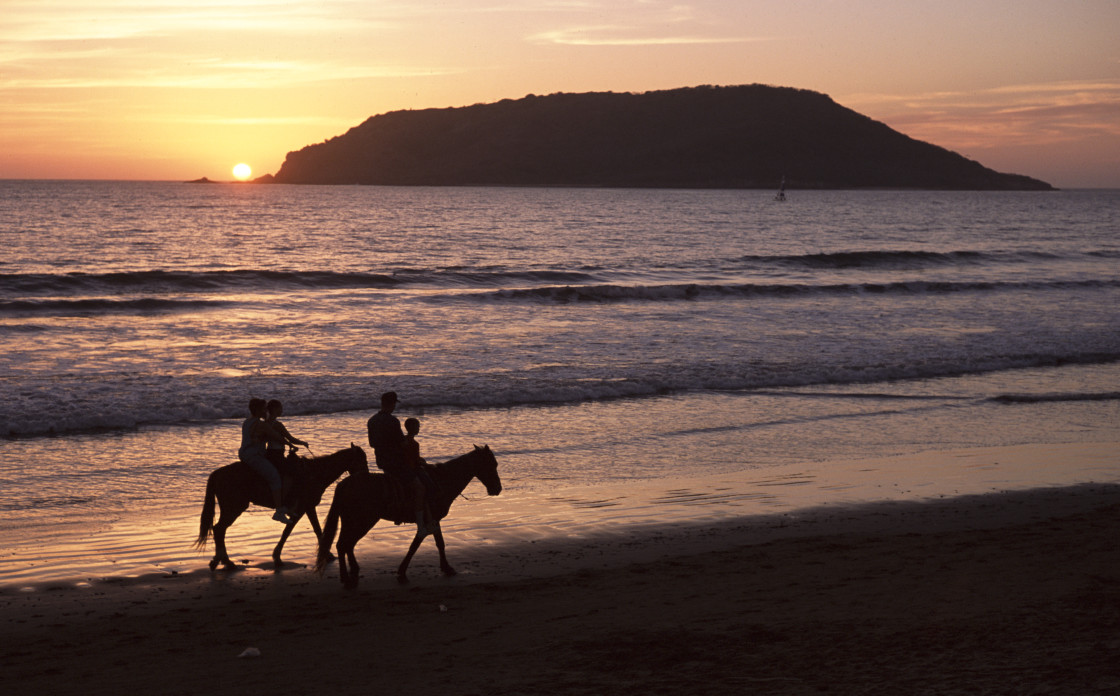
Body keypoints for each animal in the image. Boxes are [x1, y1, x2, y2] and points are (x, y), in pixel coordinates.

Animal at [193, 446, 367, 569]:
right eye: (362, 459)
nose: (366, 475)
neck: (314, 473)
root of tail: (217, 473)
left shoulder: (309, 507)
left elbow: (317, 529)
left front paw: (328, 555)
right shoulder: (301, 509)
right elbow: (287, 532)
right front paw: (277, 557)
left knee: (219, 530)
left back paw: (220, 561)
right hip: (234, 508)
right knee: (219, 529)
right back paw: (226, 562)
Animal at [318, 446, 506, 587]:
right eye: (491, 464)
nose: (497, 488)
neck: (442, 480)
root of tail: (344, 484)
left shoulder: (434, 519)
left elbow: (439, 543)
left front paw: (446, 568)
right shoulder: (429, 520)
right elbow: (416, 544)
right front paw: (402, 572)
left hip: (353, 521)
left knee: (346, 545)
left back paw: (351, 573)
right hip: (362, 521)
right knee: (345, 544)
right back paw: (347, 577)